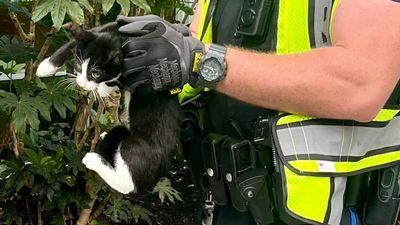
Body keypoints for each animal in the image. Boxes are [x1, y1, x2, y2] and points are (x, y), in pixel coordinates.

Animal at [36, 23, 183, 194]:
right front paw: (45, 66)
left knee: (128, 184)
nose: (81, 83)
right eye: (78, 66)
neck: (121, 39)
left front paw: (102, 89)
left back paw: (93, 160)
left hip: (138, 147)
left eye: (95, 73)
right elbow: (72, 43)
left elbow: (117, 80)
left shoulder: (138, 70)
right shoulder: (106, 29)